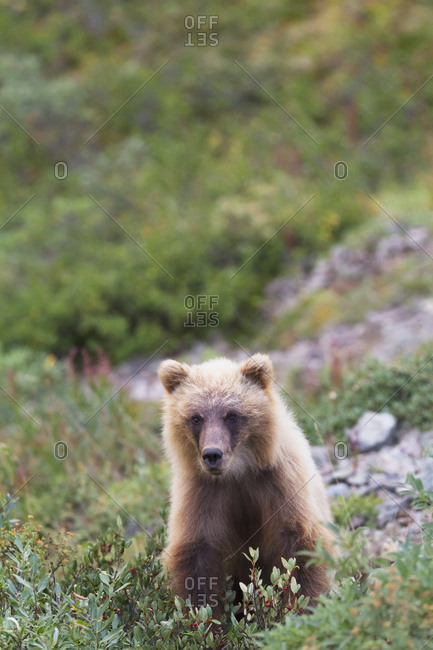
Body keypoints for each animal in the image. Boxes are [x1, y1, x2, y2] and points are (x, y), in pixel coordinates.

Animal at [158, 353, 334, 616]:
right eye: (196, 417)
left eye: (231, 415)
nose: (212, 454)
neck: (238, 473)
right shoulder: (202, 493)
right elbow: (197, 557)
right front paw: (205, 617)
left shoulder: (279, 483)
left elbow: (300, 546)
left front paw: (301, 608)